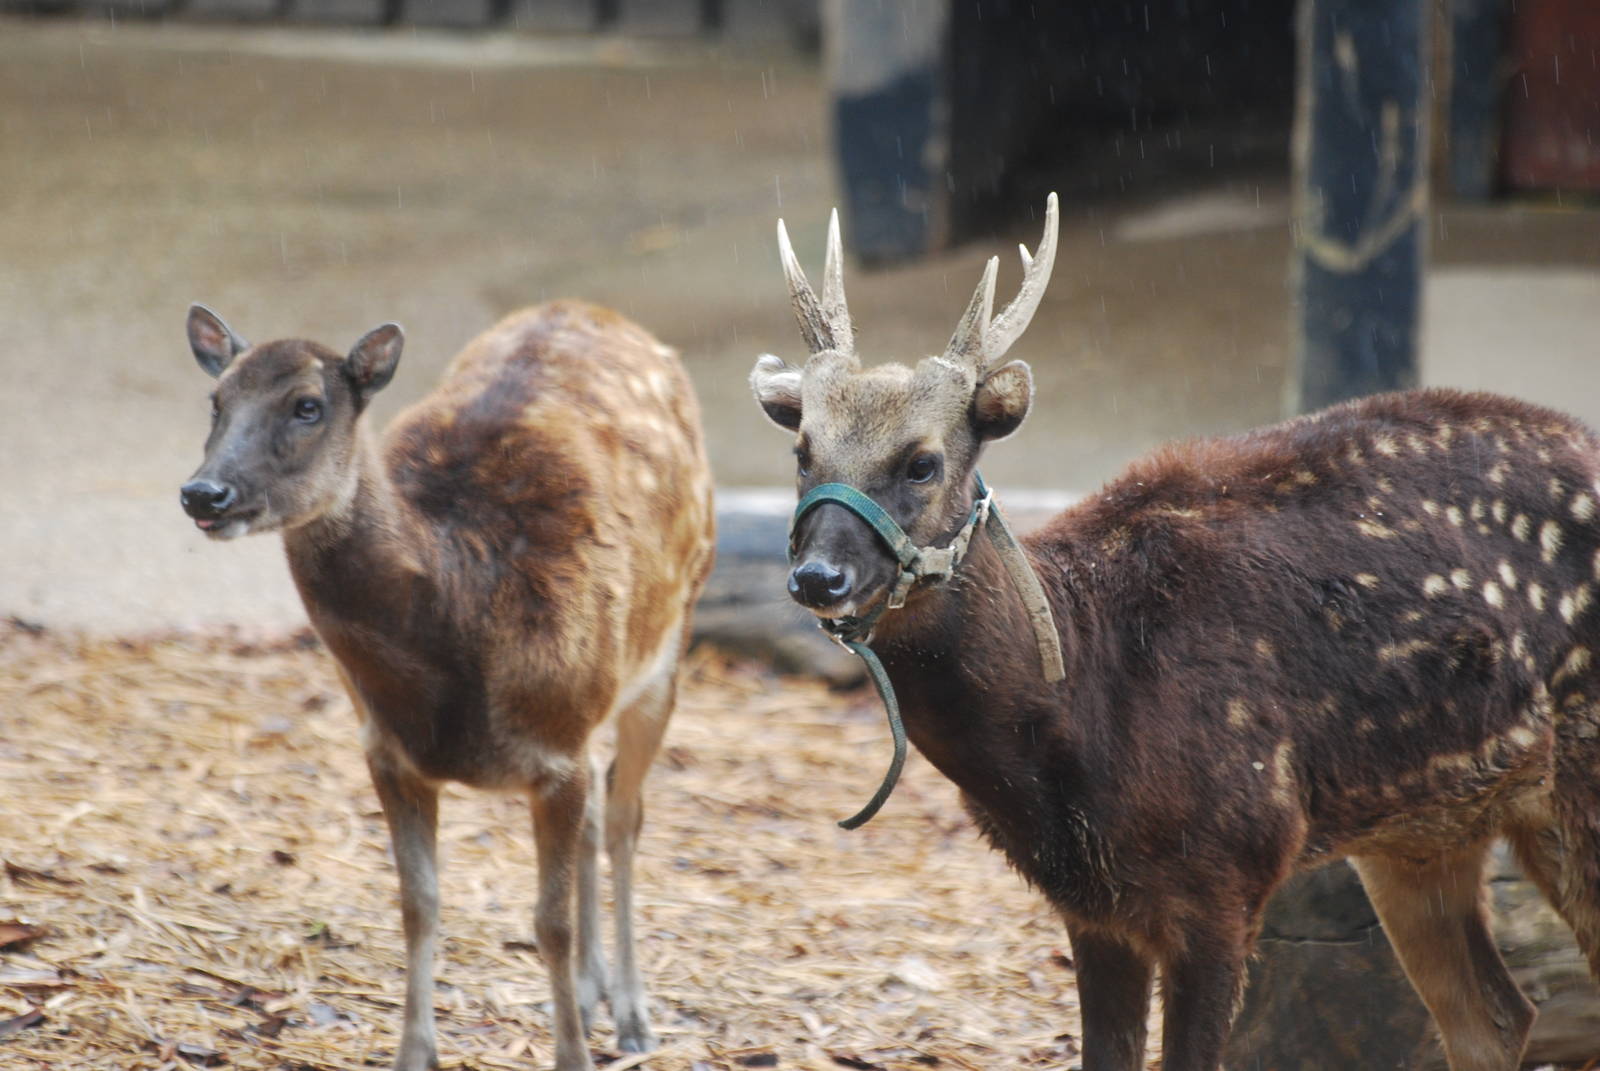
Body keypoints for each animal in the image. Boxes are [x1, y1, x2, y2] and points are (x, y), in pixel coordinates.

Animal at [180, 300, 716, 1071]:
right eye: (216, 401)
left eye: (308, 405)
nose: (204, 491)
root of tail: (596, 310)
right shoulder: (387, 748)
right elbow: (419, 903)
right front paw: (413, 1053)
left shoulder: (556, 750)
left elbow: (547, 922)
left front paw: (573, 1056)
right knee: (598, 811)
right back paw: (592, 993)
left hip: (671, 634)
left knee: (624, 815)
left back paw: (634, 1017)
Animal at [749, 194, 1600, 1071]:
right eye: (802, 450)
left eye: (922, 461)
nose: (817, 577)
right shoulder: (1092, 907)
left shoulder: (1229, 870)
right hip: (1418, 830)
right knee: (1494, 1014)